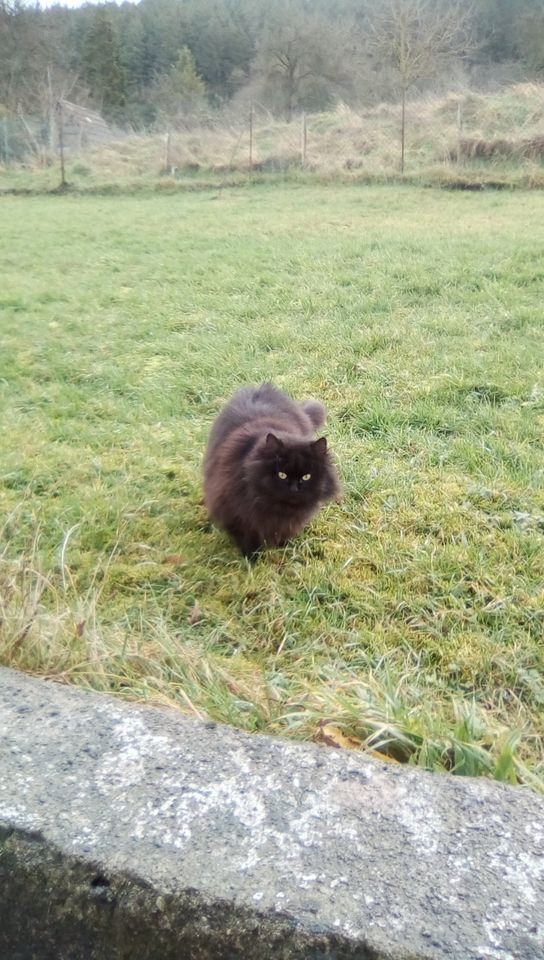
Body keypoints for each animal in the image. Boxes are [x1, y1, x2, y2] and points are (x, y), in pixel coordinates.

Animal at [204, 382, 340, 556]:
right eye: (281, 475)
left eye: (306, 477)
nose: (294, 488)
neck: (279, 509)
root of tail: (261, 387)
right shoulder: (236, 515)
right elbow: (248, 538)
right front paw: (251, 557)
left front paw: (283, 546)